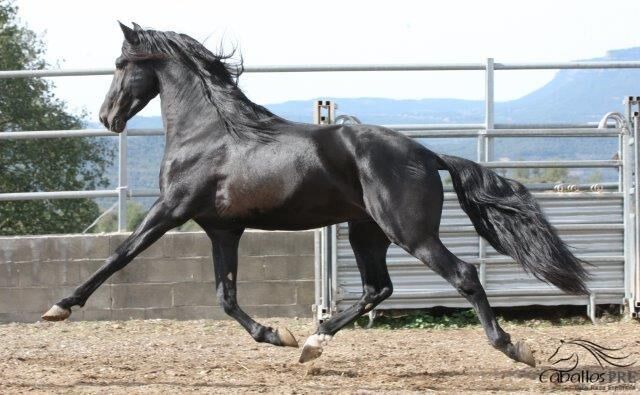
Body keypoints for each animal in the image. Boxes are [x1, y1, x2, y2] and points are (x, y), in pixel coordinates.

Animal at [41, 22, 592, 368]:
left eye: (119, 62)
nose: (107, 117)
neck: (210, 134)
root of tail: (427, 153)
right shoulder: (223, 229)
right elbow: (225, 295)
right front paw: (276, 335)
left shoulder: (170, 210)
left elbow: (120, 255)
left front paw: (60, 307)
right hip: (365, 230)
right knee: (377, 288)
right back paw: (311, 343)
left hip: (408, 232)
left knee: (463, 275)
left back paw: (514, 348)